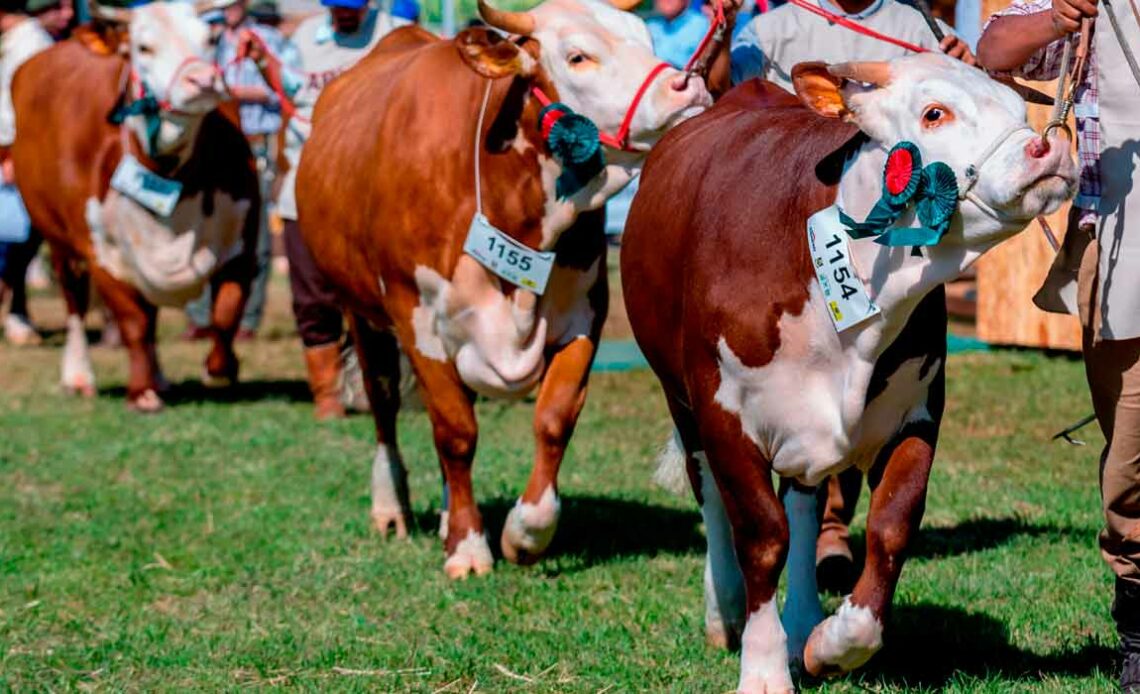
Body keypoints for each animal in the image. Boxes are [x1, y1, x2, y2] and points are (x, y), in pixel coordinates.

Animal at [9, 0, 258, 407]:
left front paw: (219, 370)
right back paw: (79, 375)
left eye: (210, 39)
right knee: (74, 302)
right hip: (57, 239)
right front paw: (141, 392)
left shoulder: (243, 240)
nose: (203, 80)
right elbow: (133, 321)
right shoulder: (100, 252)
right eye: (143, 48)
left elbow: (225, 312)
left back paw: (160, 377)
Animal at [296, 0, 720, 574]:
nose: (687, 85)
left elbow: (553, 419)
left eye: (646, 38)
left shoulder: (583, 316)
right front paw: (468, 547)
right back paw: (392, 507)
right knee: (384, 406)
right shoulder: (419, 322)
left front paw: (525, 533)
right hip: (362, 313)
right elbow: (456, 434)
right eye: (578, 56)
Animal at [624, 54, 1076, 688]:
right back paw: (726, 611)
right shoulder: (725, 415)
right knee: (711, 496)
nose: (1048, 149)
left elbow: (891, 526)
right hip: (679, 398)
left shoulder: (917, 410)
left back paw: (802, 620)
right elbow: (761, 536)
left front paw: (829, 643)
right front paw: (763, 670)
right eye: (934, 113)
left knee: (805, 506)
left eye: (1017, 107)